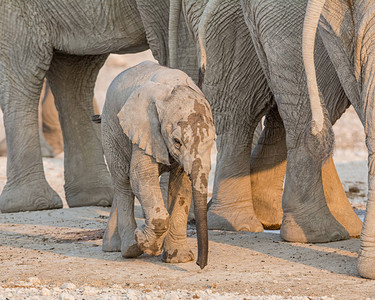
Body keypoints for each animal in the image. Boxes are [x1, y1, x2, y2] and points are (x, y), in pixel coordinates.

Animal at [101, 59, 216, 268]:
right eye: (177, 142)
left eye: (212, 141)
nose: (199, 264)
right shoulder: (145, 126)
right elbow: (141, 176)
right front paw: (143, 241)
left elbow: (181, 185)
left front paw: (178, 259)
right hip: (110, 128)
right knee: (123, 181)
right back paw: (129, 248)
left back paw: (115, 246)